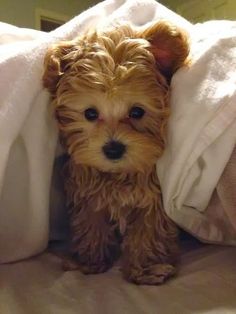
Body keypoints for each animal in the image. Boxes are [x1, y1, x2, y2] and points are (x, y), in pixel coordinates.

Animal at [42, 22, 190, 284]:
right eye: (90, 113)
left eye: (137, 112)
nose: (113, 148)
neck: (118, 175)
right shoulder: (88, 193)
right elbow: (91, 223)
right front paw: (89, 260)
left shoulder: (152, 199)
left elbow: (148, 230)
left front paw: (147, 268)